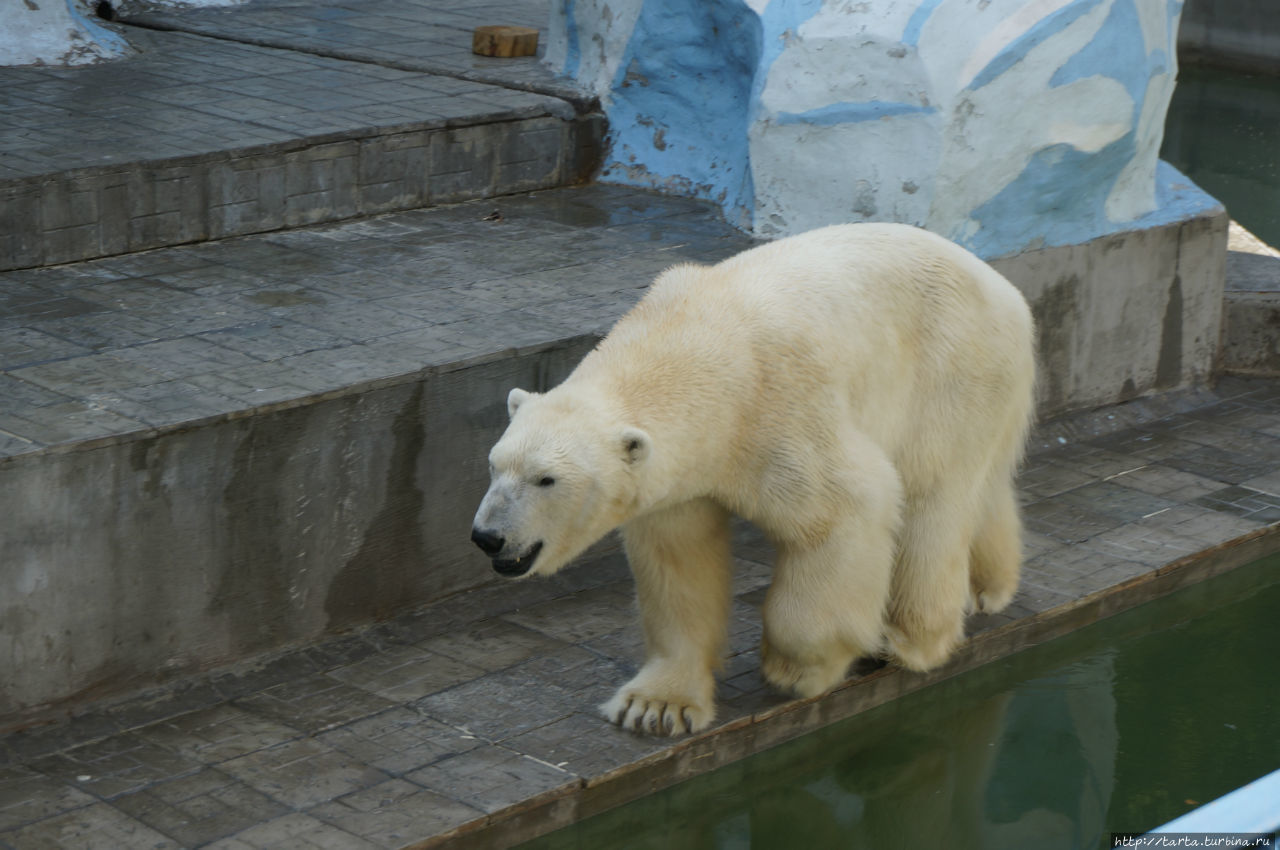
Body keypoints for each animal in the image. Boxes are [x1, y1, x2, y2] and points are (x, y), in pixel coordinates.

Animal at [476, 222, 1034, 732]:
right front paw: (656, 706)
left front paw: (799, 669)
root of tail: (1006, 290)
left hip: (951, 370)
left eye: (546, 479)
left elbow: (845, 510)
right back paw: (988, 587)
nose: (488, 536)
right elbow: (679, 558)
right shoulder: (682, 474)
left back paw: (909, 637)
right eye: (494, 464)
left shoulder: (779, 410)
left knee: (932, 491)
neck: (691, 341)